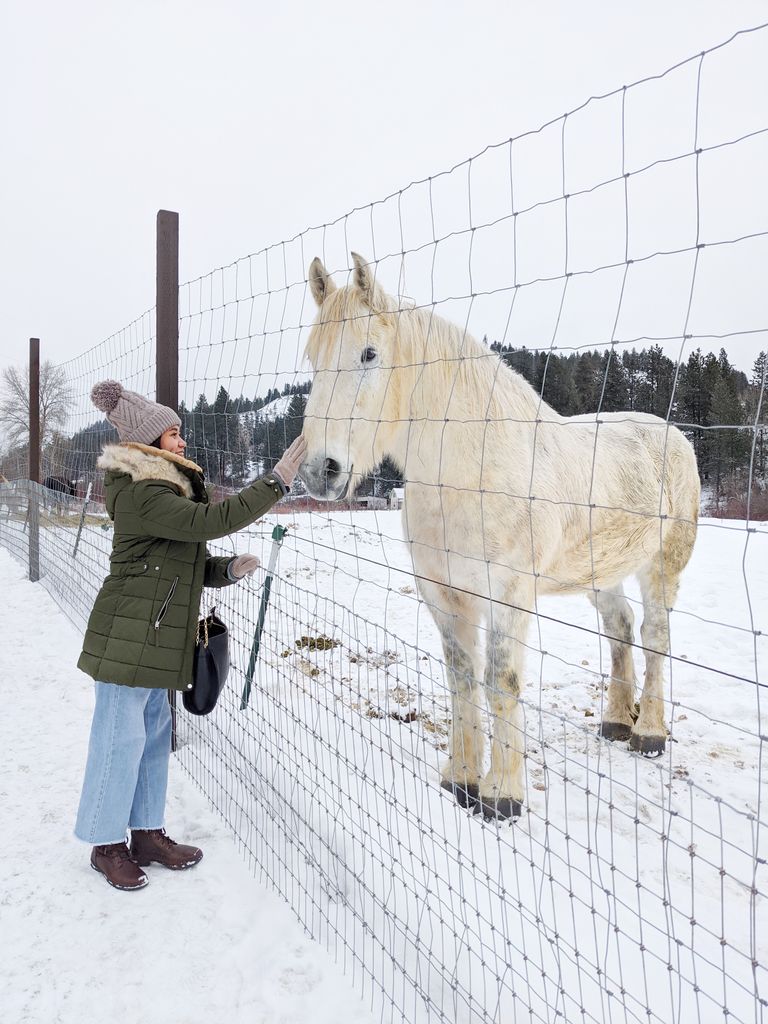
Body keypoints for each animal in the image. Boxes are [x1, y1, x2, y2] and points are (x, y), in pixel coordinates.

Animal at [299, 252, 700, 821]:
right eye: (312, 359)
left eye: (369, 353)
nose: (320, 471)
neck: (472, 469)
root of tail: (672, 434)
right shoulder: (445, 596)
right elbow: (463, 679)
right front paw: (461, 780)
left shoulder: (509, 596)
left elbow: (500, 683)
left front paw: (502, 796)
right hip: (603, 574)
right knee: (620, 629)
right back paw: (617, 722)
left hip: (662, 566)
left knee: (655, 637)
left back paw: (648, 733)